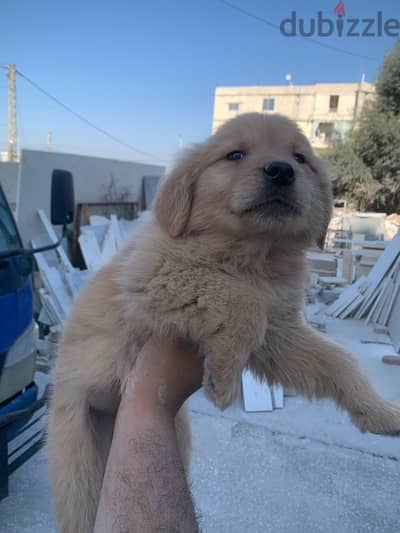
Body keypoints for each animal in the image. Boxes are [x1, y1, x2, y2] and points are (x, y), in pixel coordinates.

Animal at [47, 113, 400, 532]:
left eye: (300, 158)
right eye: (234, 154)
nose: (281, 171)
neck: (254, 255)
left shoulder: (279, 335)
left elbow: (339, 361)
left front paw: (380, 413)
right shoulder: (153, 276)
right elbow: (243, 301)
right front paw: (224, 377)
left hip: (175, 436)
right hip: (76, 464)